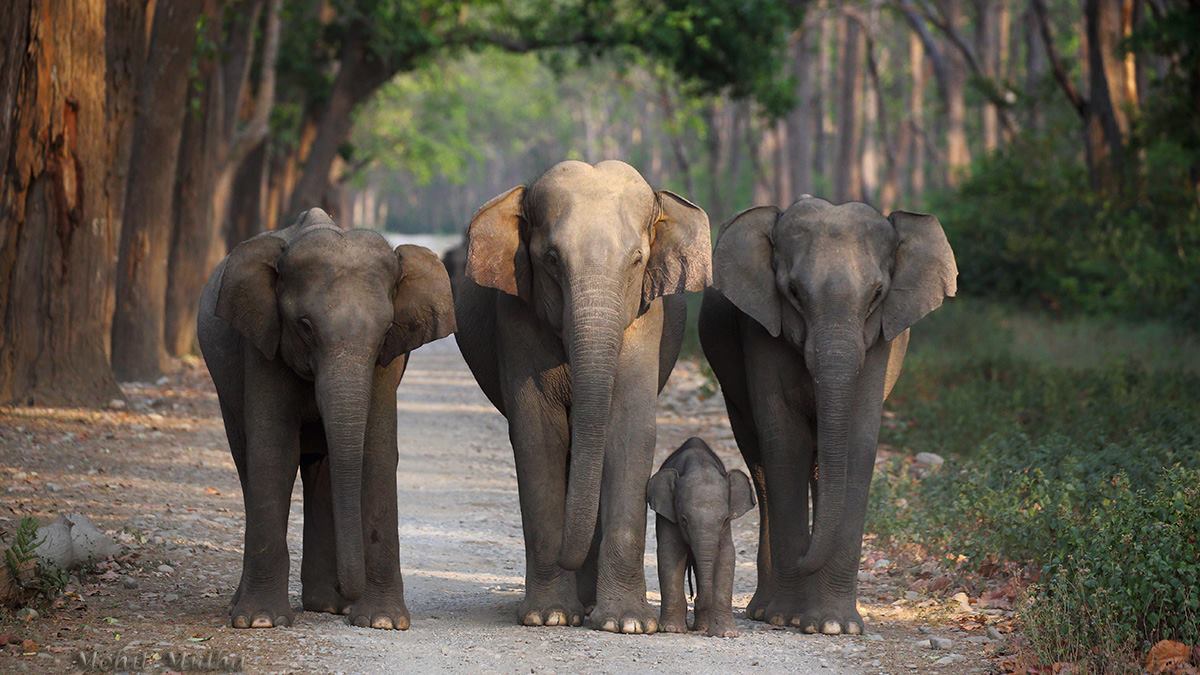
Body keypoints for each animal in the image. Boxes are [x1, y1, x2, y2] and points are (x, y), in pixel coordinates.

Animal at [196, 208, 456, 630]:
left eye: (387, 329)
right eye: (304, 326)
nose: (352, 593)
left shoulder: (387, 361)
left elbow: (375, 454)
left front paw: (382, 623)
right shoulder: (262, 345)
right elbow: (274, 453)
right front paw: (261, 621)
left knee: (324, 469)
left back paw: (328, 605)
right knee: (248, 461)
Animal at [453, 160, 712, 634]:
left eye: (636, 260)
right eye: (551, 260)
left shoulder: (646, 318)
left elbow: (628, 430)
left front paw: (627, 624)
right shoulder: (516, 316)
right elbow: (537, 434)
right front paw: (550, 616)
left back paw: (592, 605)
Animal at [647, 437, 755, 638]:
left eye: (725, 519)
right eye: (683, 520)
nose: (696, 600)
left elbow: (727, 555)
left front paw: (727, 633)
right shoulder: (667, 516)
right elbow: (670, 553)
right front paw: (672, 629)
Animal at [698, 196, 956, 635]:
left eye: (877, 294)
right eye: (793, 292)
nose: (803, 555)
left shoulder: (880, 342)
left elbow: (857, 440)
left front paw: (836, 626)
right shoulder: (760, 330)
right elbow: (785, 440)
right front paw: (787, 617)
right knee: (761, 463)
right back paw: (765, 610)